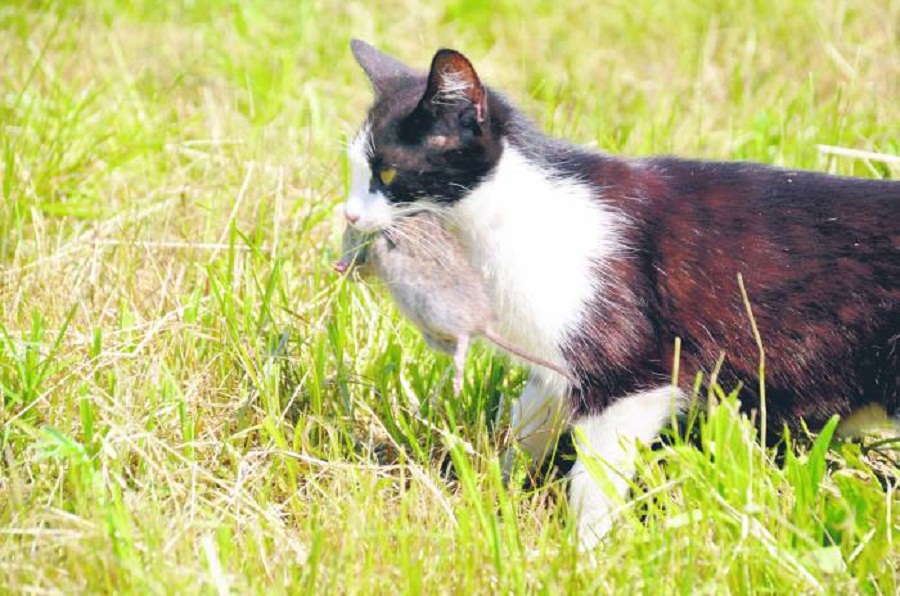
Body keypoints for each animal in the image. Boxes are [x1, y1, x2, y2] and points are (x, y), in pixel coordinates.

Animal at [340, 39, 900, 548]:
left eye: (387, 172)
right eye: (354, 171)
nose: (347, 214)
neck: (508, 219)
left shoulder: (631, 372)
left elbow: (595, 480)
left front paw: (582, 555)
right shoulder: (557, 362)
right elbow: (524, 426)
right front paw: (488, 498)